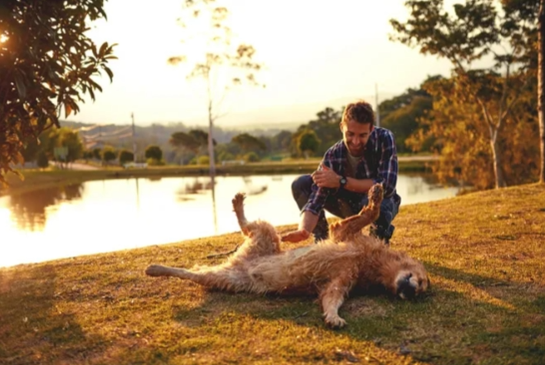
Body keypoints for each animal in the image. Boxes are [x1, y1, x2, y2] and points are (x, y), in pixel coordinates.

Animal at [144, 183, 430, 328]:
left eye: (422, 291)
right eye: (423, 282)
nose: (412, 292)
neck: (372, 265)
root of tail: (242, 264)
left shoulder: (341, 281)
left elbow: (332, 298)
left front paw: (333, 316)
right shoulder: (343, 232)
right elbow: (369, 213)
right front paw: (375, 195)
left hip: (226, 278)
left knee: (194, 273)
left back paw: (158, 269)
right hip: (266, 237)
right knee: (250, 226)